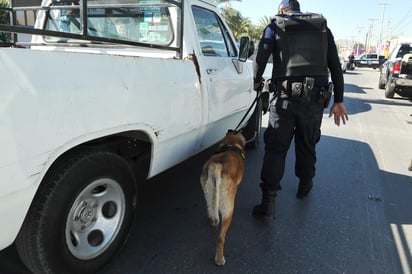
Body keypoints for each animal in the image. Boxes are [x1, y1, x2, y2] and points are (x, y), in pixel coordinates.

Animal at [200, 131, 245, 266]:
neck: (231, 144)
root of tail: (217, 166)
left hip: (208, 192)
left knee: (211, 211)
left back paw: (212, 221)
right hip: (228, 208)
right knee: (220, 238)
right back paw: (219, 259)